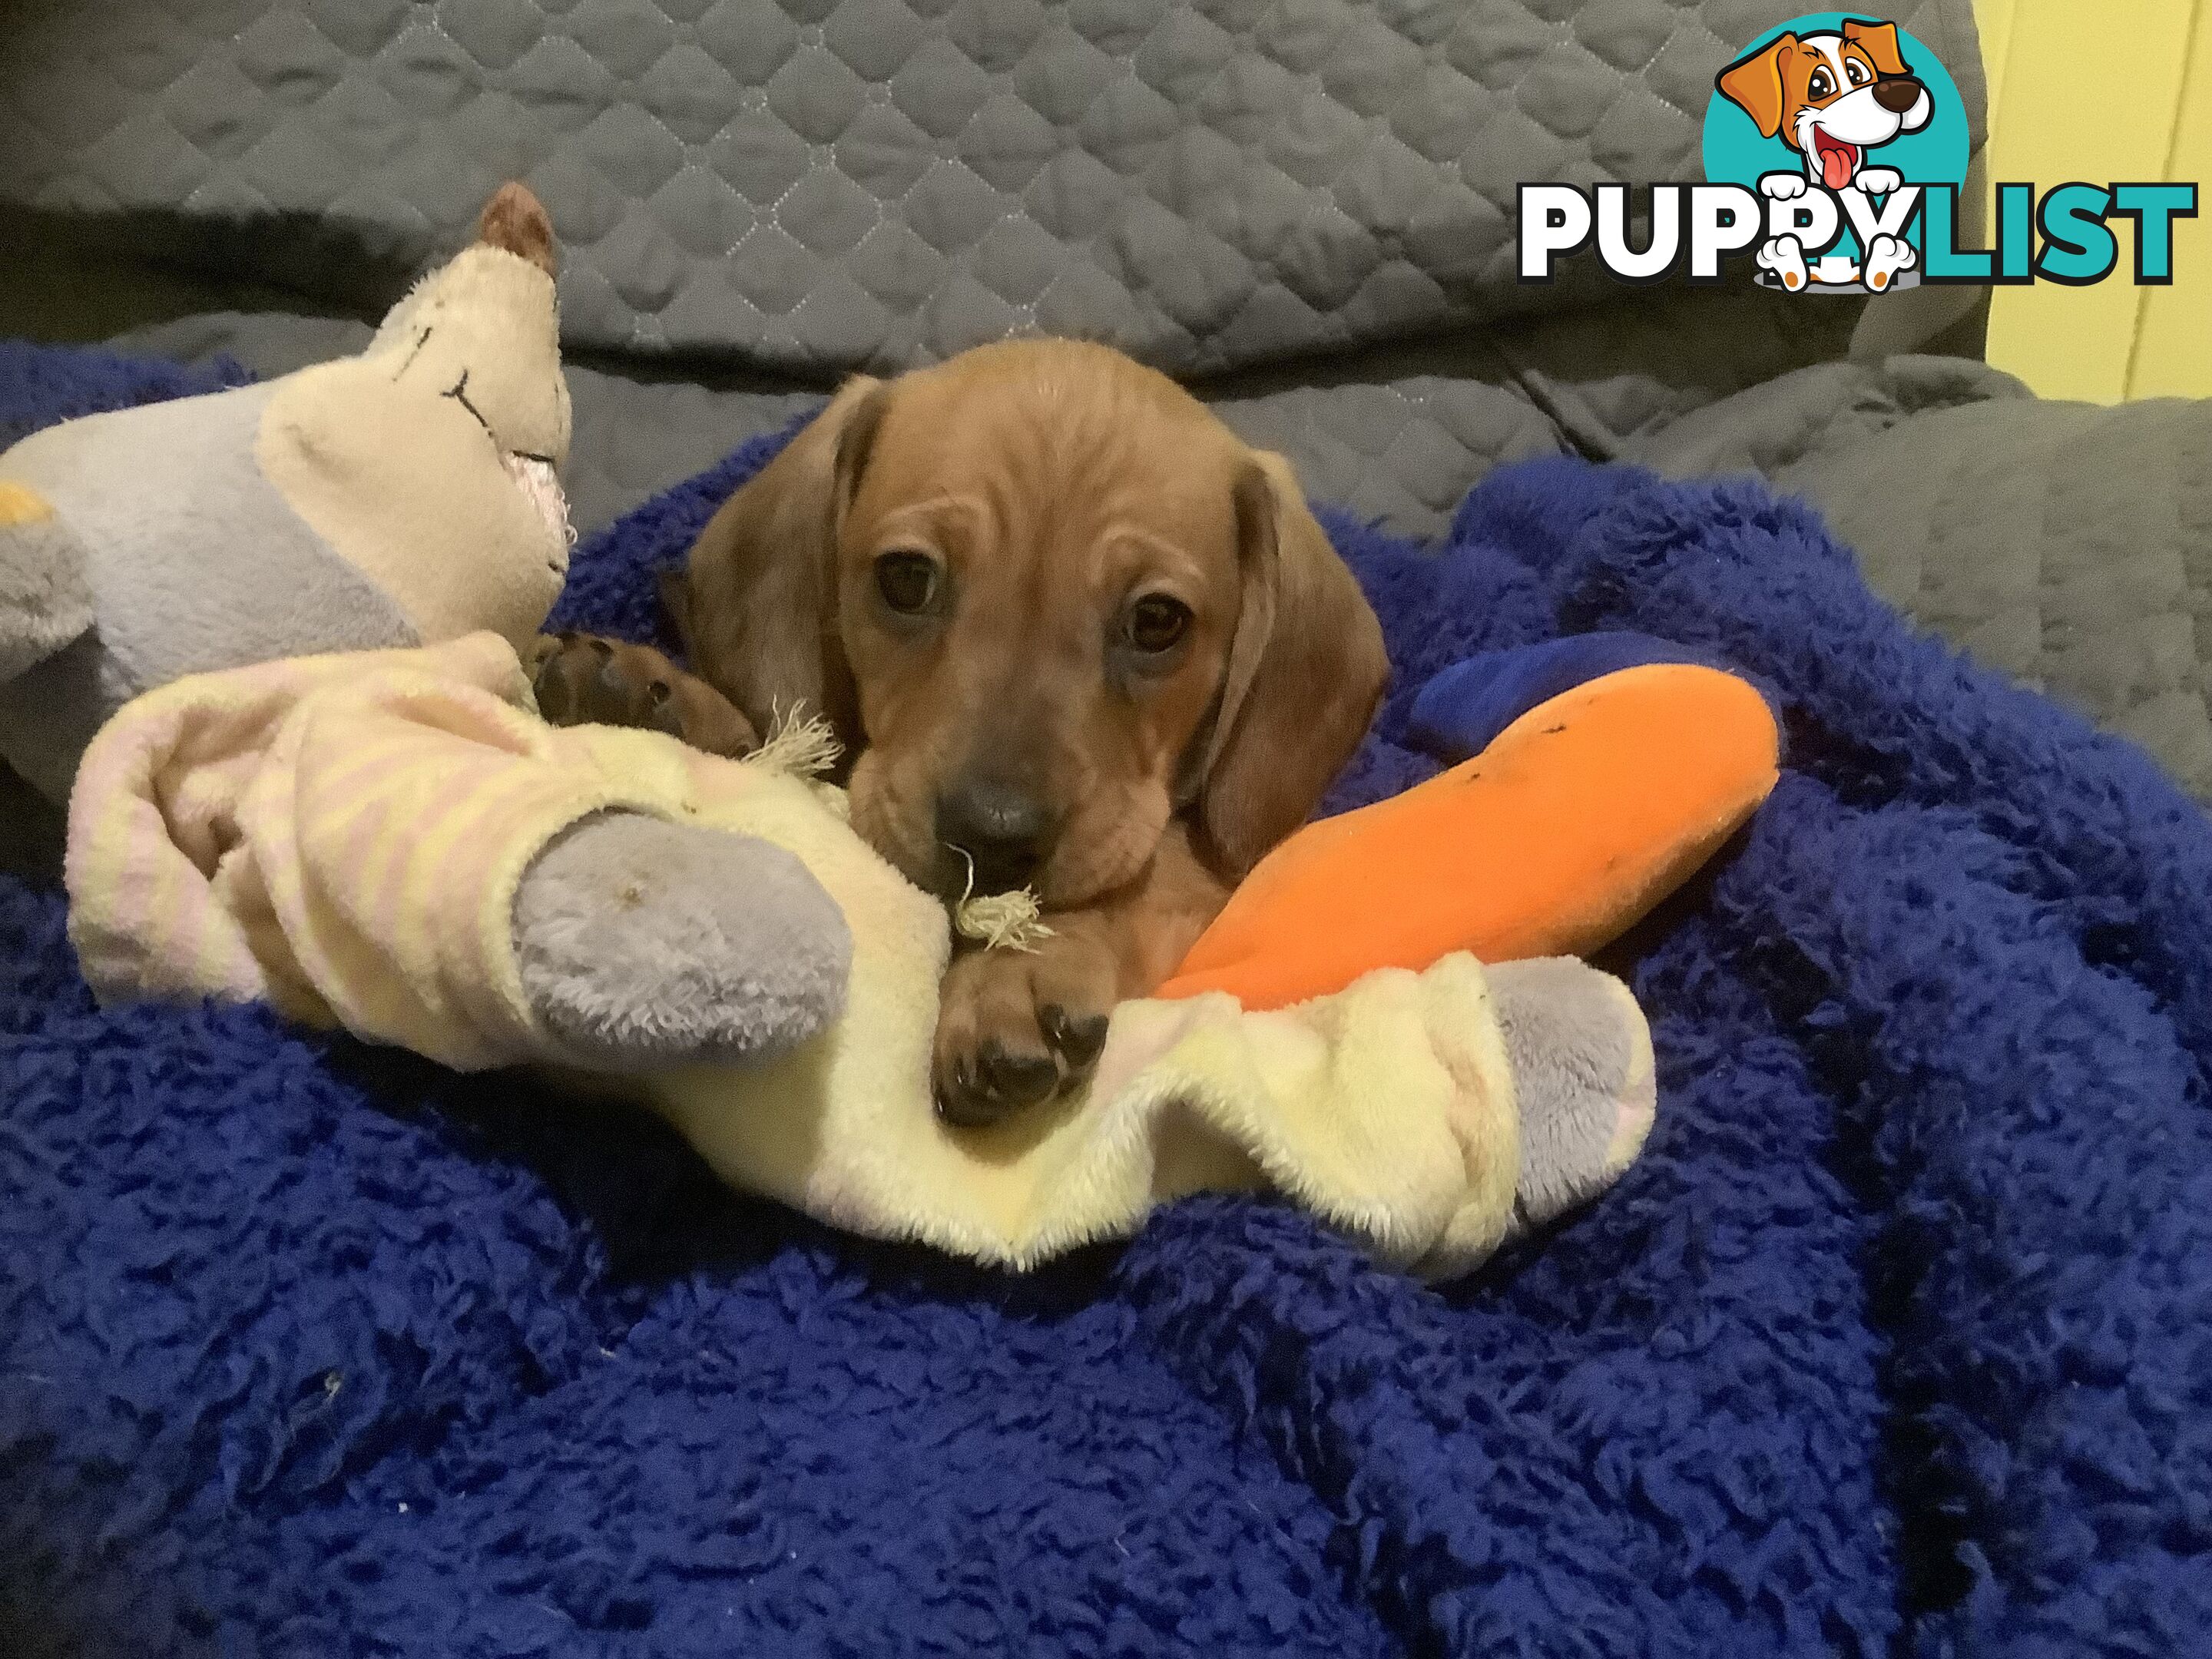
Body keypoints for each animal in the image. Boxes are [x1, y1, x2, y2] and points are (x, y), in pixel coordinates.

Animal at [539, 338, 1380, 1124]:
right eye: (908, 579)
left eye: (1157, 622)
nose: (993, 839)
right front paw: (657, 698)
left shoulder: (1208, 878)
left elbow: (1137, 875)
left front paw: (1016, 970)